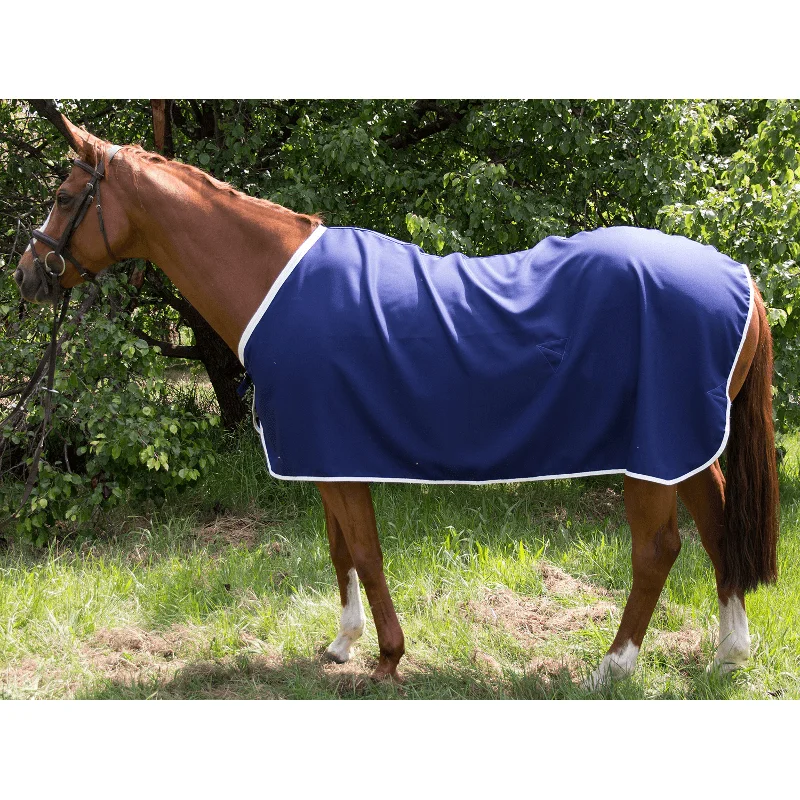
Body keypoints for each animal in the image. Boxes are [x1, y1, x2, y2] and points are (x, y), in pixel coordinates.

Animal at [14, 116, 779, 689]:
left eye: (63, 194)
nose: (26, 275)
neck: (274, 284)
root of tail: (741, 278)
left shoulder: (334, 449)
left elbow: (365, 550)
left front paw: (387, 657)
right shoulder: (324, 454)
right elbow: (339, 550)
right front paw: (343, 643)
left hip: (650, 449)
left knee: (658, 549)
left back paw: (613, 665)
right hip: (686, 445)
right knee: (719, 531)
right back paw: (729, 653)